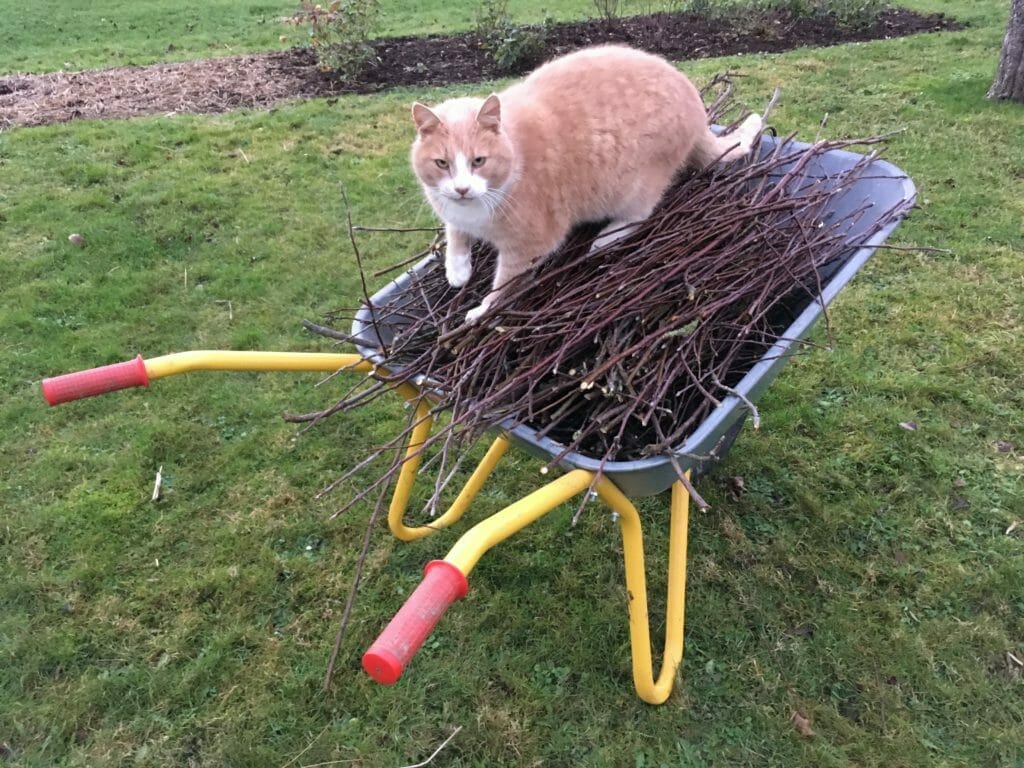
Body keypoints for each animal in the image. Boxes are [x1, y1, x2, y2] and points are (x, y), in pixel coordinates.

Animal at [407, 45, 761, 321]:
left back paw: (606, 238)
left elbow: (506, 282)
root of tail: (698, 108)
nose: (462, 189)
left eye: (479, 161)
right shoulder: (451, 211)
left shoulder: (531, 244)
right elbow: (454, 236)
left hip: (634, 187)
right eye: (442, 164)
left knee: (641, 214)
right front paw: (457, 271)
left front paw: (482, 310)